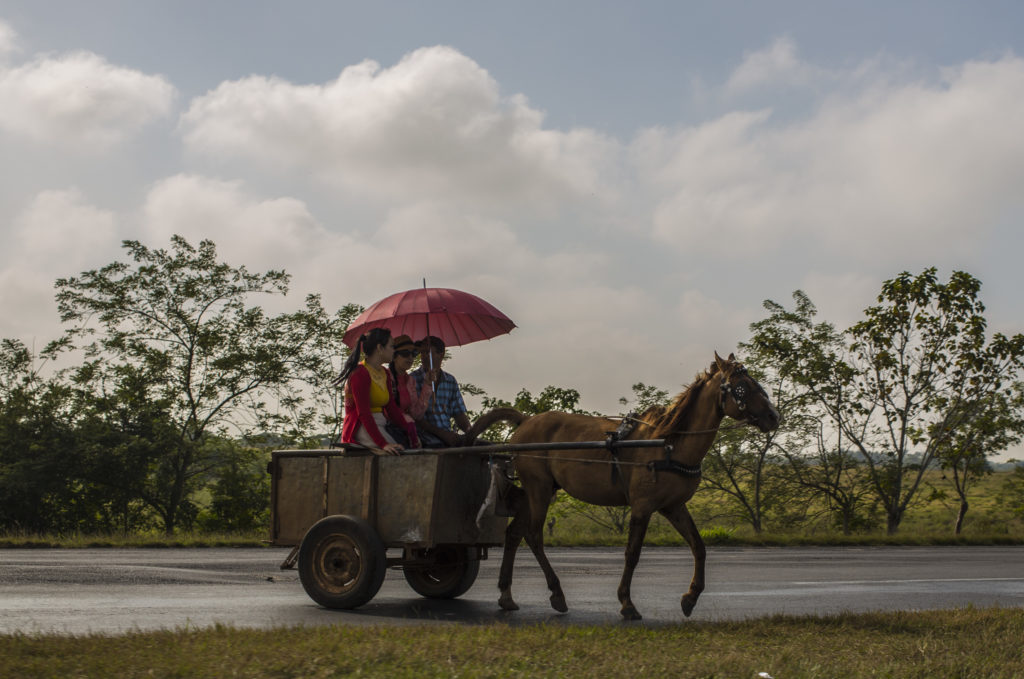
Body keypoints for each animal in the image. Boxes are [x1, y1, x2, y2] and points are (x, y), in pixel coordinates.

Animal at [477, 352, 774, 622]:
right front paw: (627, 603)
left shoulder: (674, 506)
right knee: (533, 535)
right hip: (538, 488)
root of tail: (526, 420)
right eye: (742, 386)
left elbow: (698, 547)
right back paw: (557, 593)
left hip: (540, 490)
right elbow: (632, 554)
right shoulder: (642, 507)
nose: (774, 416)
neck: (668, 444)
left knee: (515, 534)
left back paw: (506, 595)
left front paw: (690, 598)